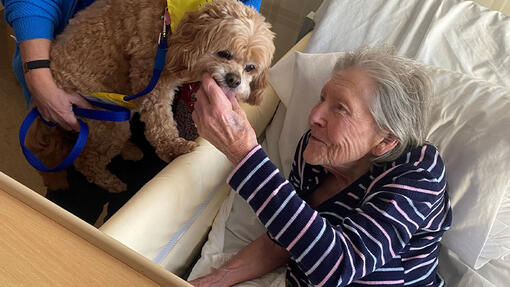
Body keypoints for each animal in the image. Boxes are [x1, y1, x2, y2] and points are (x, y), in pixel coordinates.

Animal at [25, 0, 274, 195]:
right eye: (224, 53)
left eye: (250, 67)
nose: (234, 80)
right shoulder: (151, 77)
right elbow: (159, 119)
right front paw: (173, 147)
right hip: (103, 116)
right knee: (87, 160)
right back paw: (113, 183)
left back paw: (130, 151)